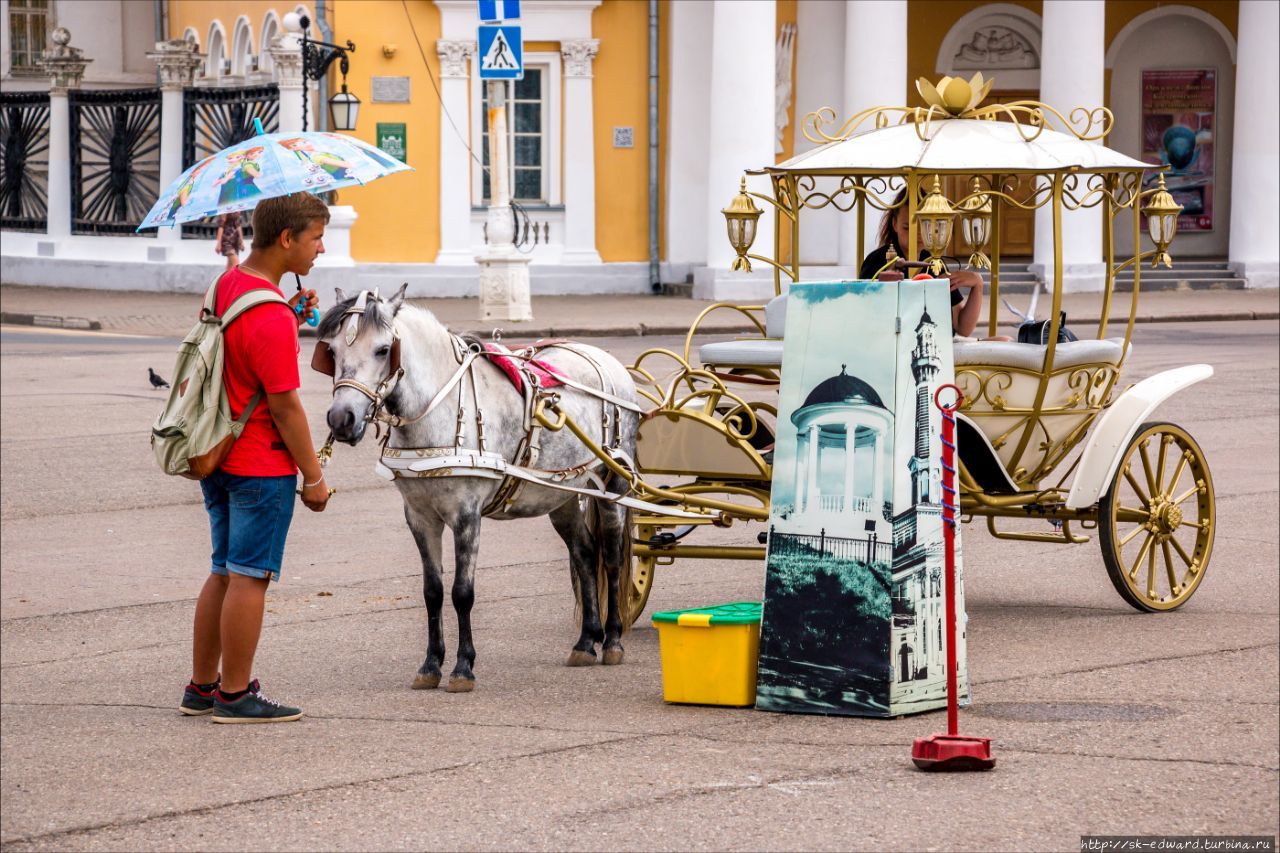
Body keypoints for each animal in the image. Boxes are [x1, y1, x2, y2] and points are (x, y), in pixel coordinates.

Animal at [317, 285, 637, 691]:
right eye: (332, 351)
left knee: (610, 557)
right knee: (583, 553)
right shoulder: (419, 517)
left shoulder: (466, 515)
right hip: (561, 494)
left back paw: (612, 639)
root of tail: (606, 359)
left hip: (613, 484)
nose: (341, 419)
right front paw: (430, 664)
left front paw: (462, 666)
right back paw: (585, 640)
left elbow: (462, 593)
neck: (435, 412)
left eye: (383, 349)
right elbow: (433, 592)